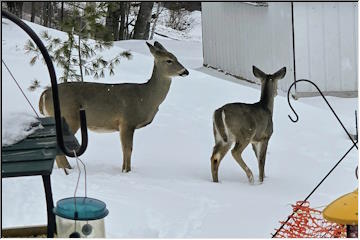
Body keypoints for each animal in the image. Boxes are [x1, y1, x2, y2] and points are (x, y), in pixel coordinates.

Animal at [39, 41, 190, 172]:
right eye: (169, 60)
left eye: (176, 57)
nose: (185, 71)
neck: (145, 97)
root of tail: (45, 94)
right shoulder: (127, 121)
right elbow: (128, 149)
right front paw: (126, 171)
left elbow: (126, 149)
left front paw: (125, 169)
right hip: (69, 117)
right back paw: (67, 170)